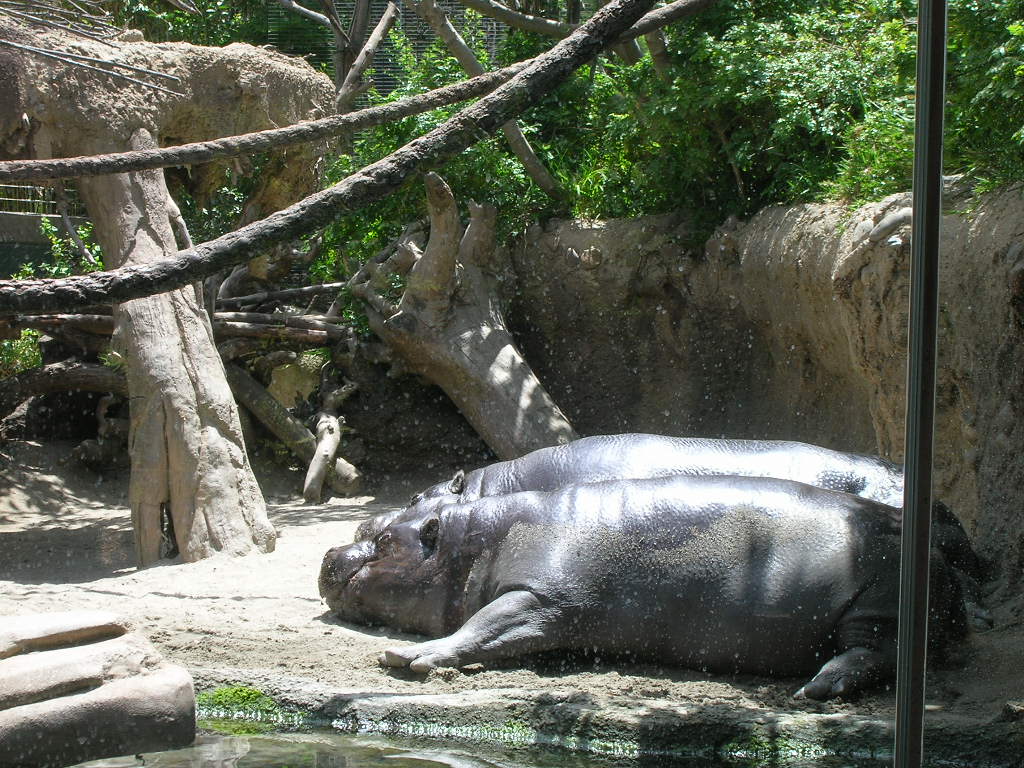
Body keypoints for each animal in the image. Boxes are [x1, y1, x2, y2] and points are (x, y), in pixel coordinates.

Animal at [321, 474, 967, 700]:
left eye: (384, 542)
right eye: (364, 528)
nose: (328, 553)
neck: (473, 538)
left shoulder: (542, 598)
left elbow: (481, 625)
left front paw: (406, 657)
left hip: (876, 605)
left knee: (875, 653)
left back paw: (817, 689)